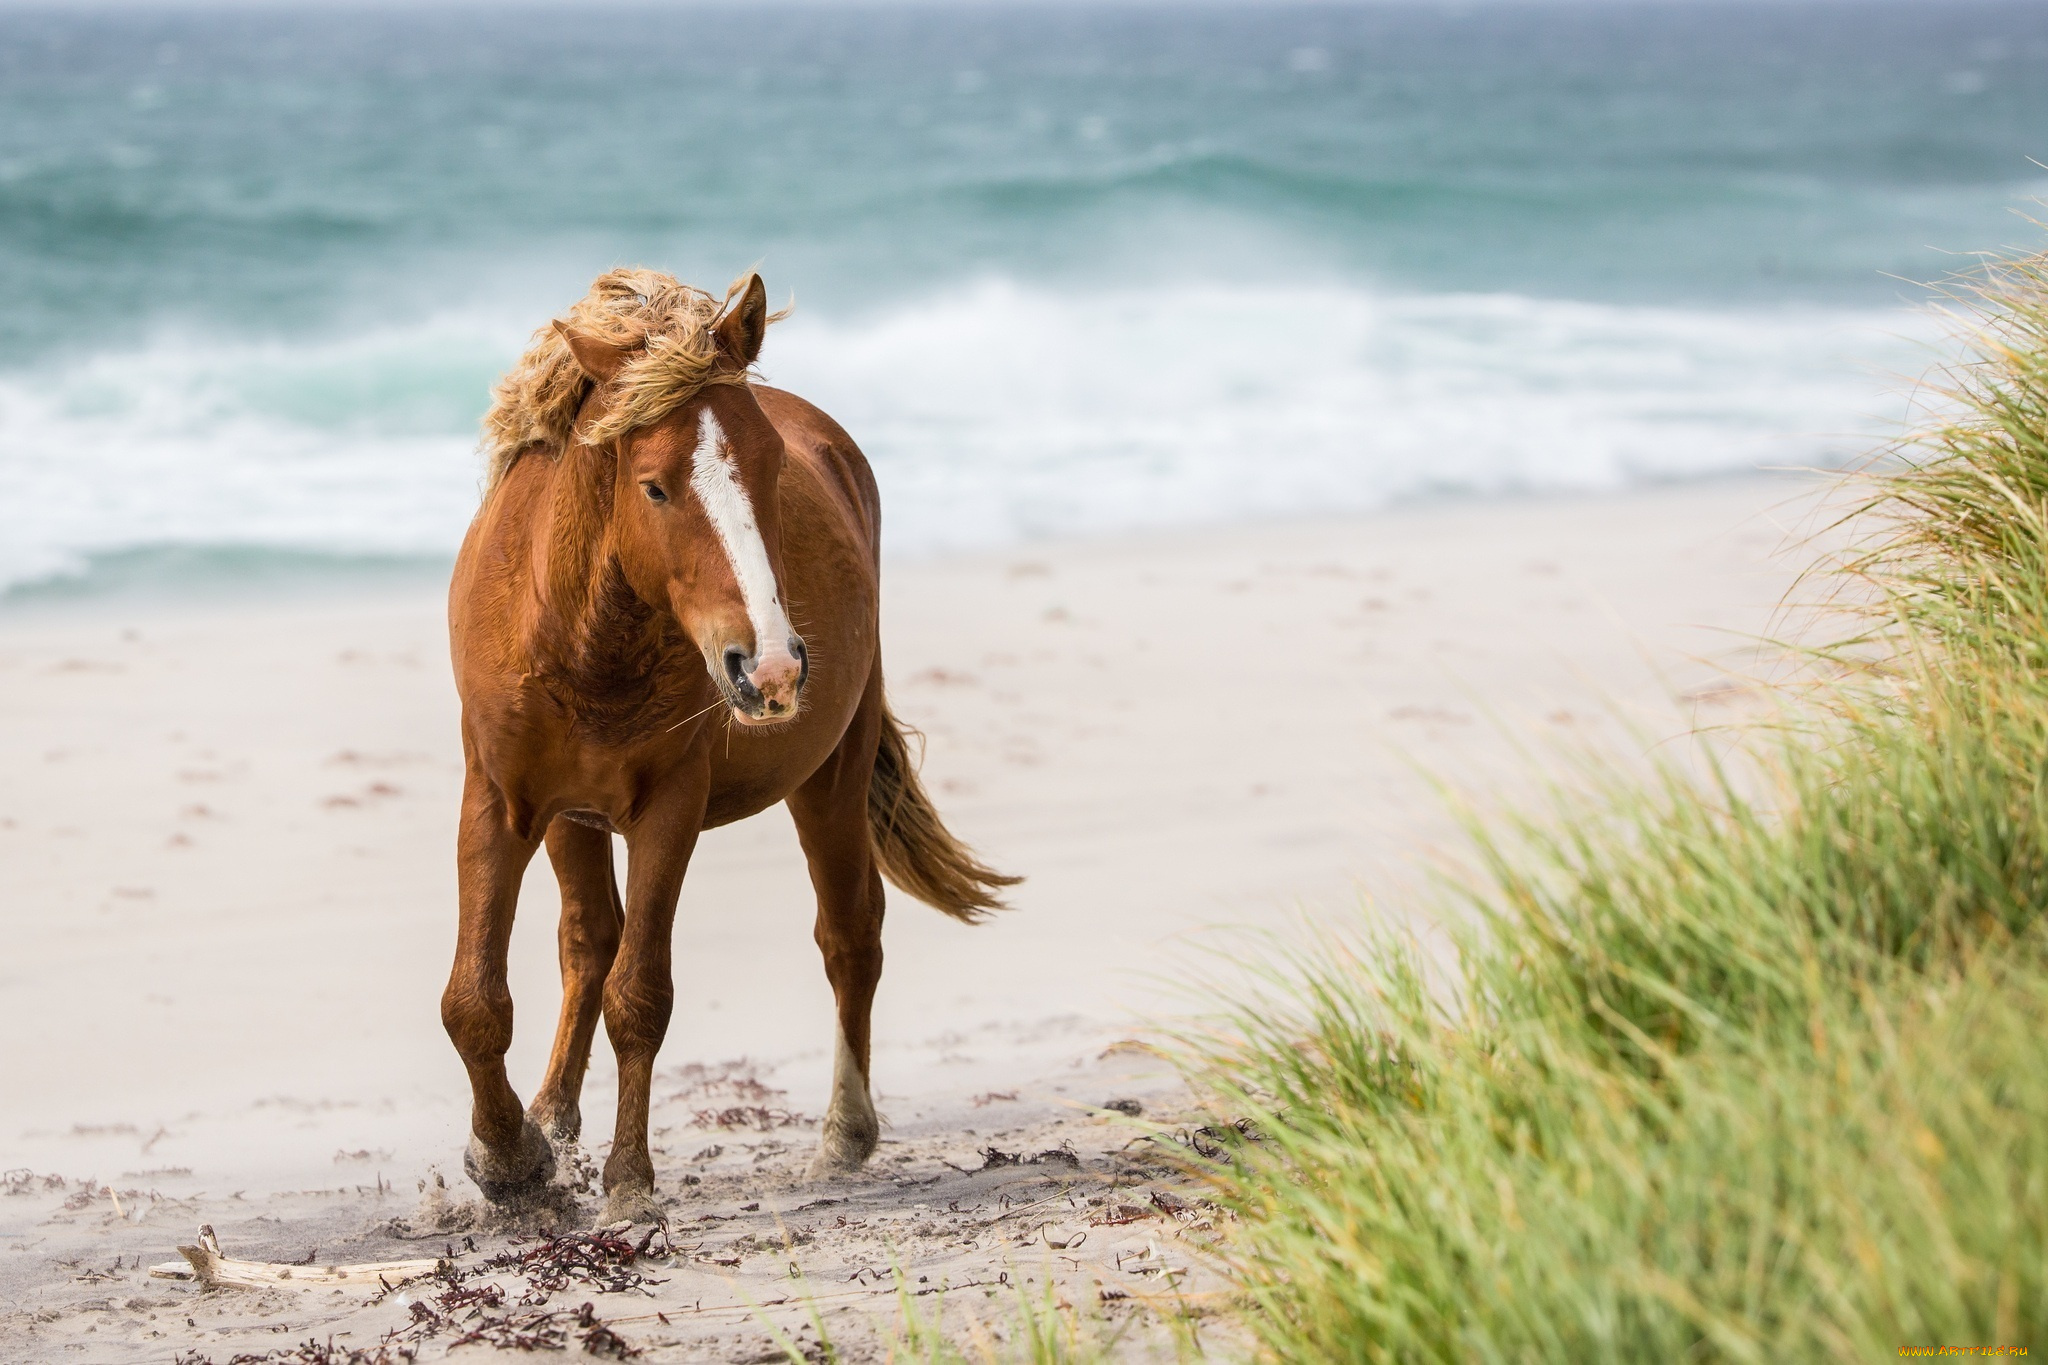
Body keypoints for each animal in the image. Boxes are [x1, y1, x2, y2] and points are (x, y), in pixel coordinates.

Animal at [442, 263, 1015, 1219]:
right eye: (654, 486)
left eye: (772, 466)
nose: (773, 665)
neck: (580, 638)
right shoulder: (501, 798)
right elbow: (478, 1000)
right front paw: (512, 1157)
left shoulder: (670, 807)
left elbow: (642, 995)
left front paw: (627, 1181)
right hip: (572, 819)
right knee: (586, 941)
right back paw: (553, 1116)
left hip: (830, 776)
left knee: (850, 935)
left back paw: (842, 1135)